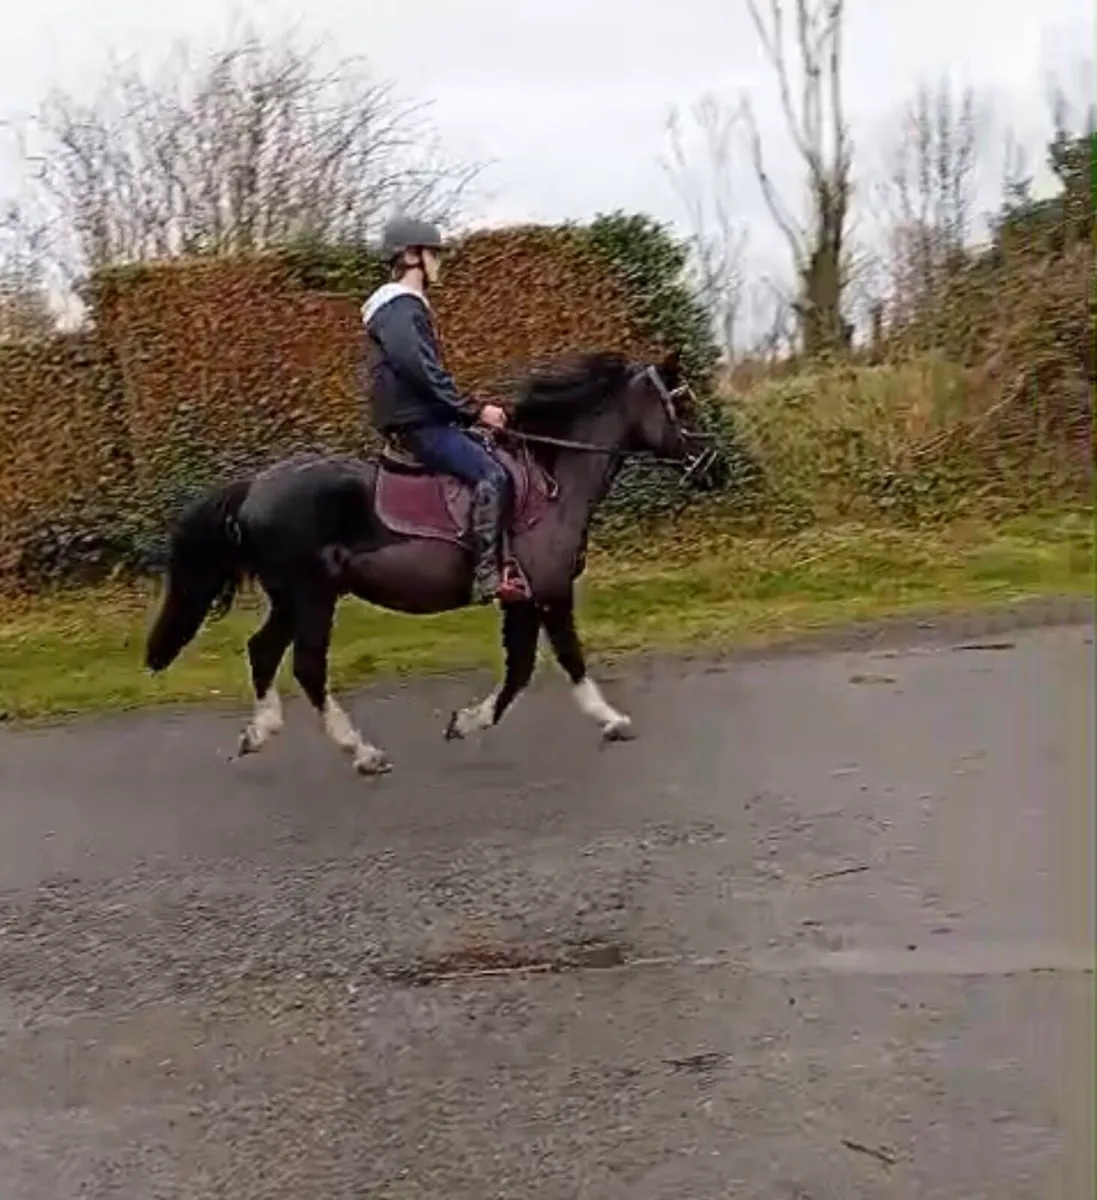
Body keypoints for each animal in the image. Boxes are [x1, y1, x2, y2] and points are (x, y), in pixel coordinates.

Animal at [144, 349, 726, 776]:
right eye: (683, 404)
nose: (716, 468)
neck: (553, 477)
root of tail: (253, 487)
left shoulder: (522, 600)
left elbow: (519, 670)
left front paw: (464, 722)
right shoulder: (549, 591)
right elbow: (566, 660)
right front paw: (611, 720)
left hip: (294, 598)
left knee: (263, 652)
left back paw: (260, 734)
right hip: (310, 597)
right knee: (306, 667)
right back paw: (362, 752)